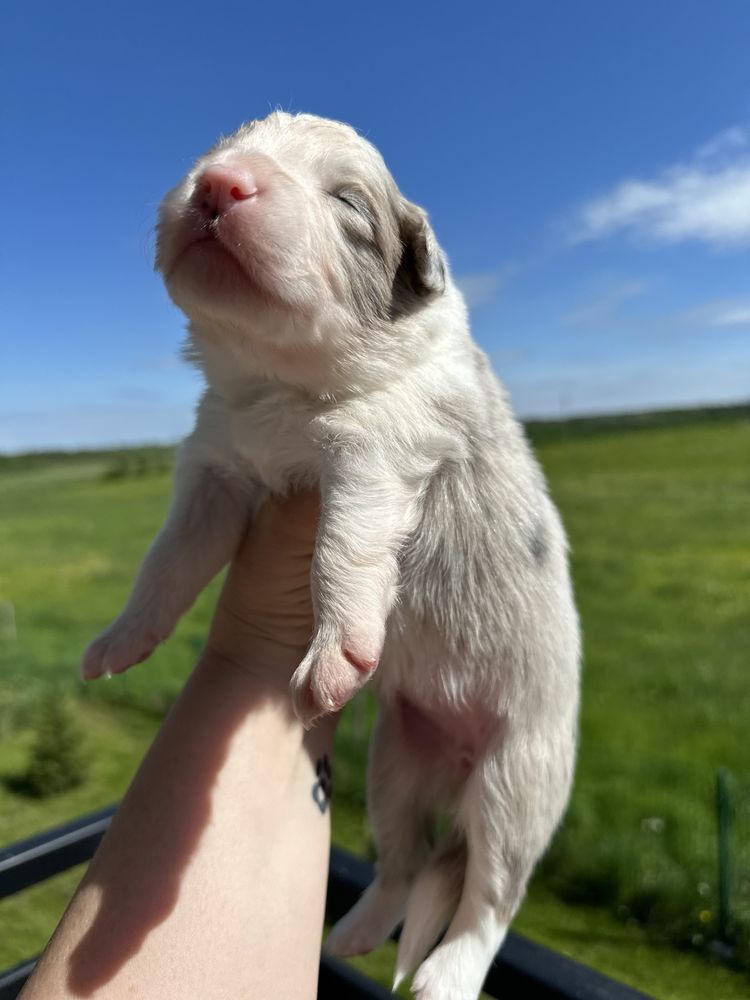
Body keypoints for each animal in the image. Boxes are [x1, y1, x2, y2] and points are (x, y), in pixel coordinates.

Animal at [82, 111, 580, 1000]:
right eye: (217, 149)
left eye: (348, 201)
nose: (220, 181)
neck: (279, 387)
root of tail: (458, 764)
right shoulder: (214, 466)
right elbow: (168, 560)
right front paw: (120, 642)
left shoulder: (378, 446)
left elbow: (343, 543)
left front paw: (335, 655)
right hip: (394, 763)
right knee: (405, 862)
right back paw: (352, 931)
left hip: (519, 779)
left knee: (490, 898)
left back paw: (447, 975)